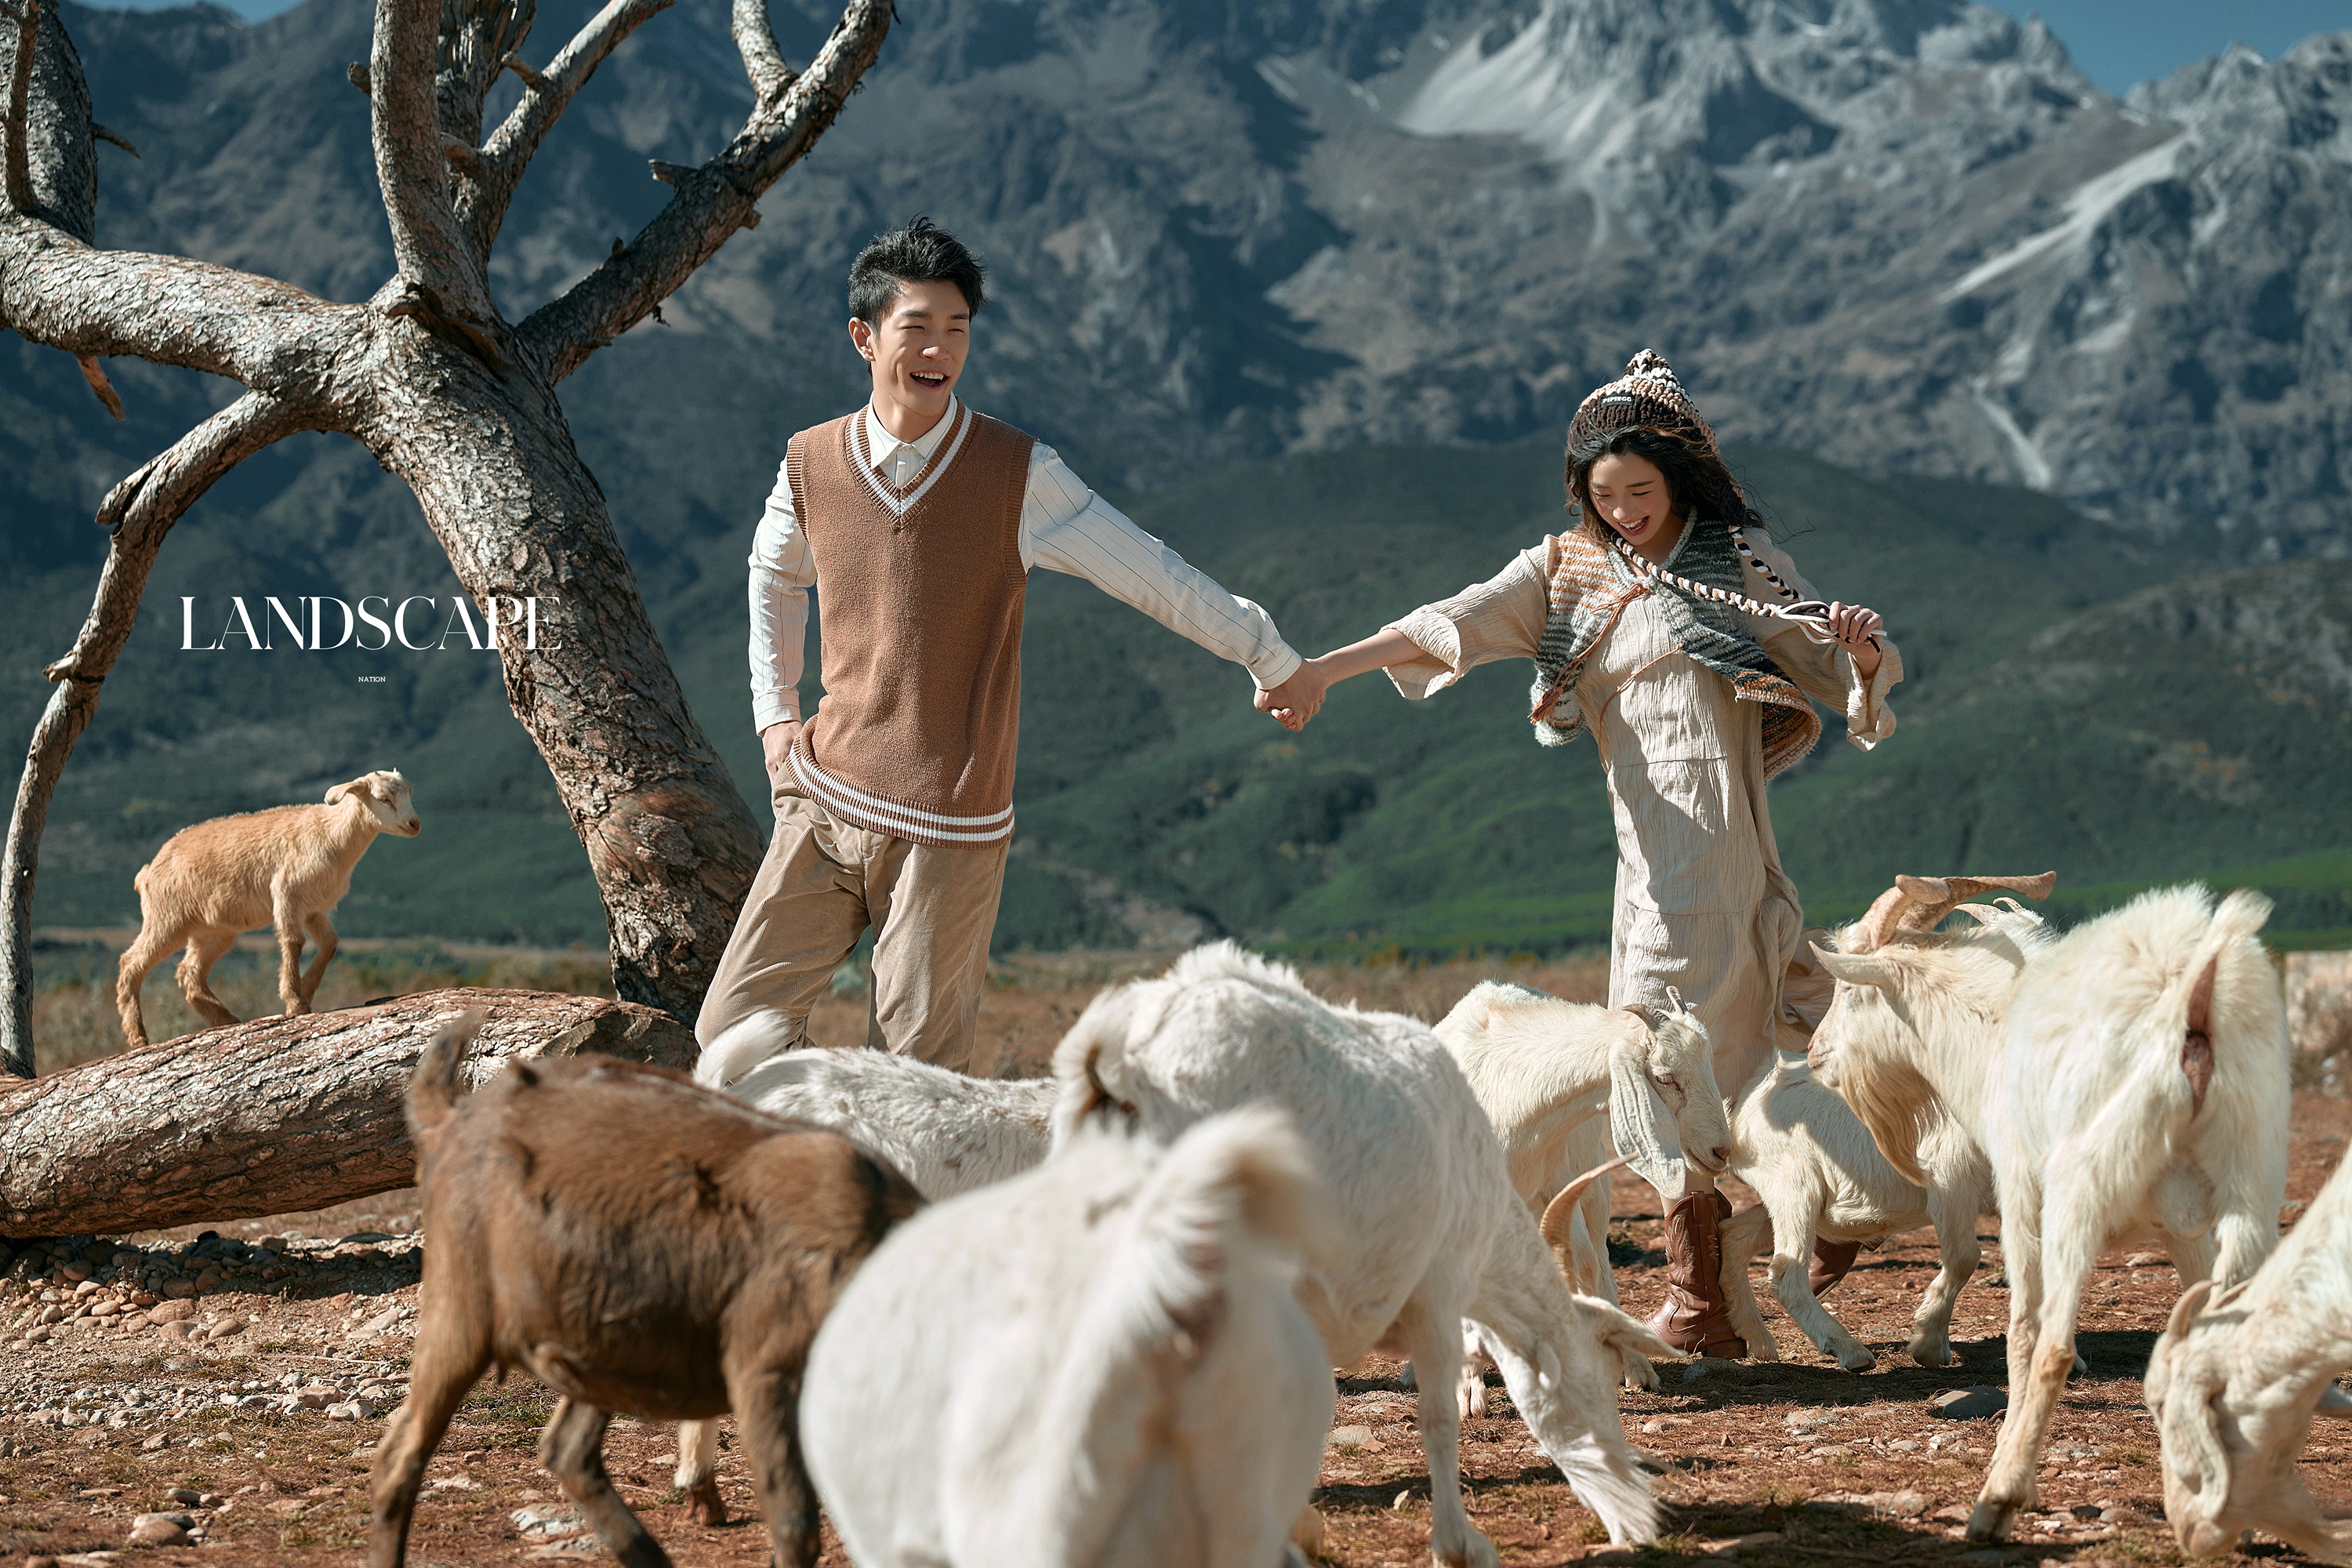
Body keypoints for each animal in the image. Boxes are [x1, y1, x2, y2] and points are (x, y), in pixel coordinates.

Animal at [115, 769, 421, 1048]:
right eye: (383, 799)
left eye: (409, 793)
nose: (414, 824)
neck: (329, 835)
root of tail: (148, 872)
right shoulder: (287, 893)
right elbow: (293, 942)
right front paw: (296, 1003)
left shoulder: (313, 909)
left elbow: (330, 944)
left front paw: (307, 991)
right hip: (167, 918)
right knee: (131, 963)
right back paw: (138, 1037)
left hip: (213, 931)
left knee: (189, 971)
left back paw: (226, 1019)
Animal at [369, 1013, 921, 1568]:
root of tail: (453, 1117)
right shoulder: (766, 1373)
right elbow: (796, 1525)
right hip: (461, 1310)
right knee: (400, 1458)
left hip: (604, 1337)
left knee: (568, 1451)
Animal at [1055, 942, 1678, 1565]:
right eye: (1590, 1383)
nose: (1640, 1521)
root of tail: (1119, 1057)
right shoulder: (1435, 1292)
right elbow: (1435, 1416)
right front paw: (1458, 1543)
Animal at [1807, 875, 2292, 1542]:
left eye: (1852, 992)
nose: (1813, 1053)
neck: (1989, 1028)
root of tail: (2191, 1003)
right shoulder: (2185, 1229)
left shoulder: (2019, 1192)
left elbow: (2020, 1327)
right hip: (2251, 1183)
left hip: (2079, 1191)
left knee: (2053, 1345)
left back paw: (1996, 1500)